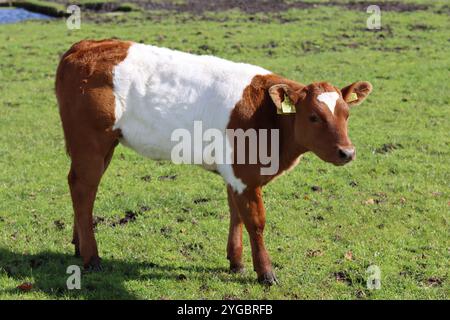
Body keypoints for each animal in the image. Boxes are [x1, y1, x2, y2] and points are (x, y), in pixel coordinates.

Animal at [55, 38, 372, 284]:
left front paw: (236, 262)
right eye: (314, 117)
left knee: (79, 186)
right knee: (84, 189)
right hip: (91, 142)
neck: (269, 118)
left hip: (102, 146)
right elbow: (255, 221)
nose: (347, 152)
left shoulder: (235, 172)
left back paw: (78, 244)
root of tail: (84, 46)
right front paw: (266, 273)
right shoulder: (245, 174)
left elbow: (236, 214)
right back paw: (92, 257)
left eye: (346, 114)